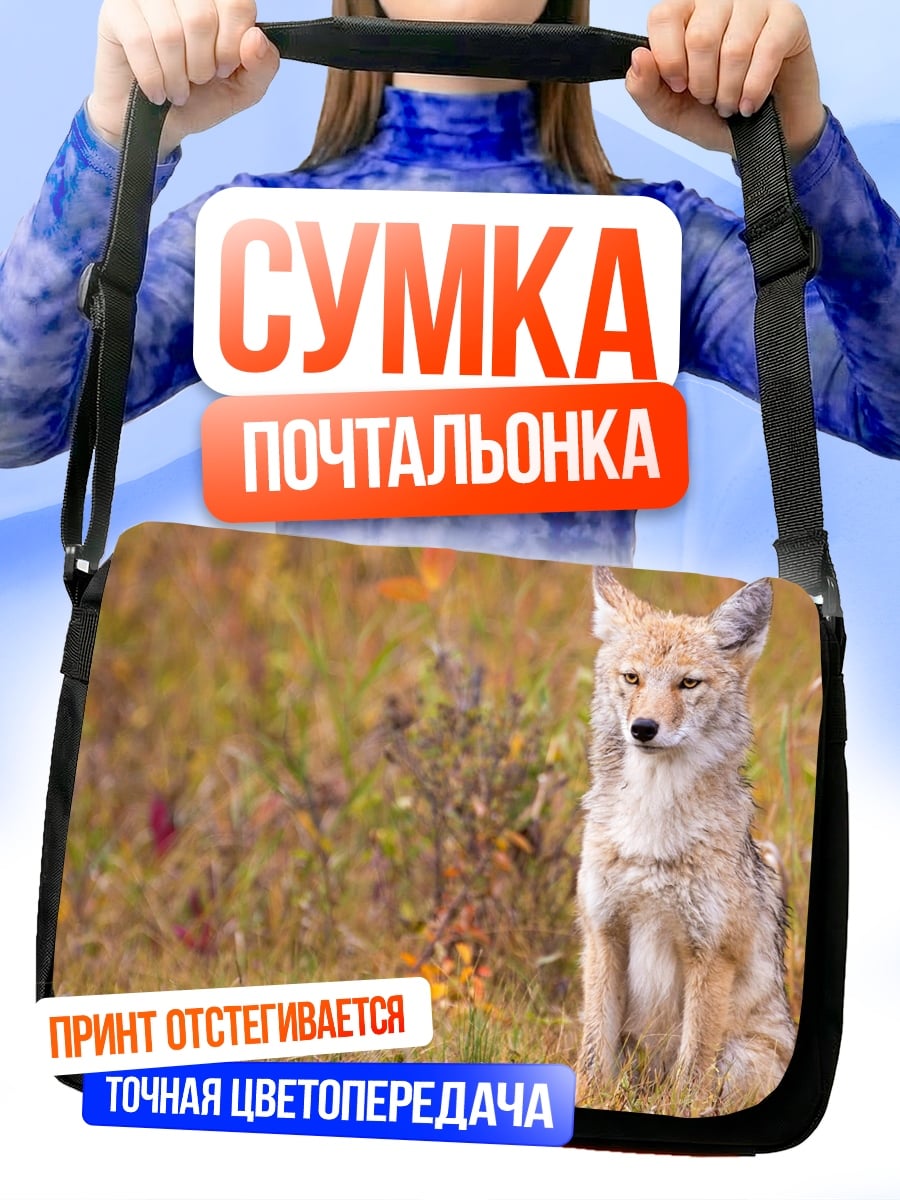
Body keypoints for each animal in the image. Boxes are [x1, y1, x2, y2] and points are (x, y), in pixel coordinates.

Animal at [576, 568, 797, 1112]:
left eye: (687, 683)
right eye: (633, 678)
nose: (643, 728)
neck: (650, 829)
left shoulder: (710, 955)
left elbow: (693, 1065)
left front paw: (679, 1113)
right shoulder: (602, 933)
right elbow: (592, 1052)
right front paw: (587, 1101)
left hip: (740, 1058)